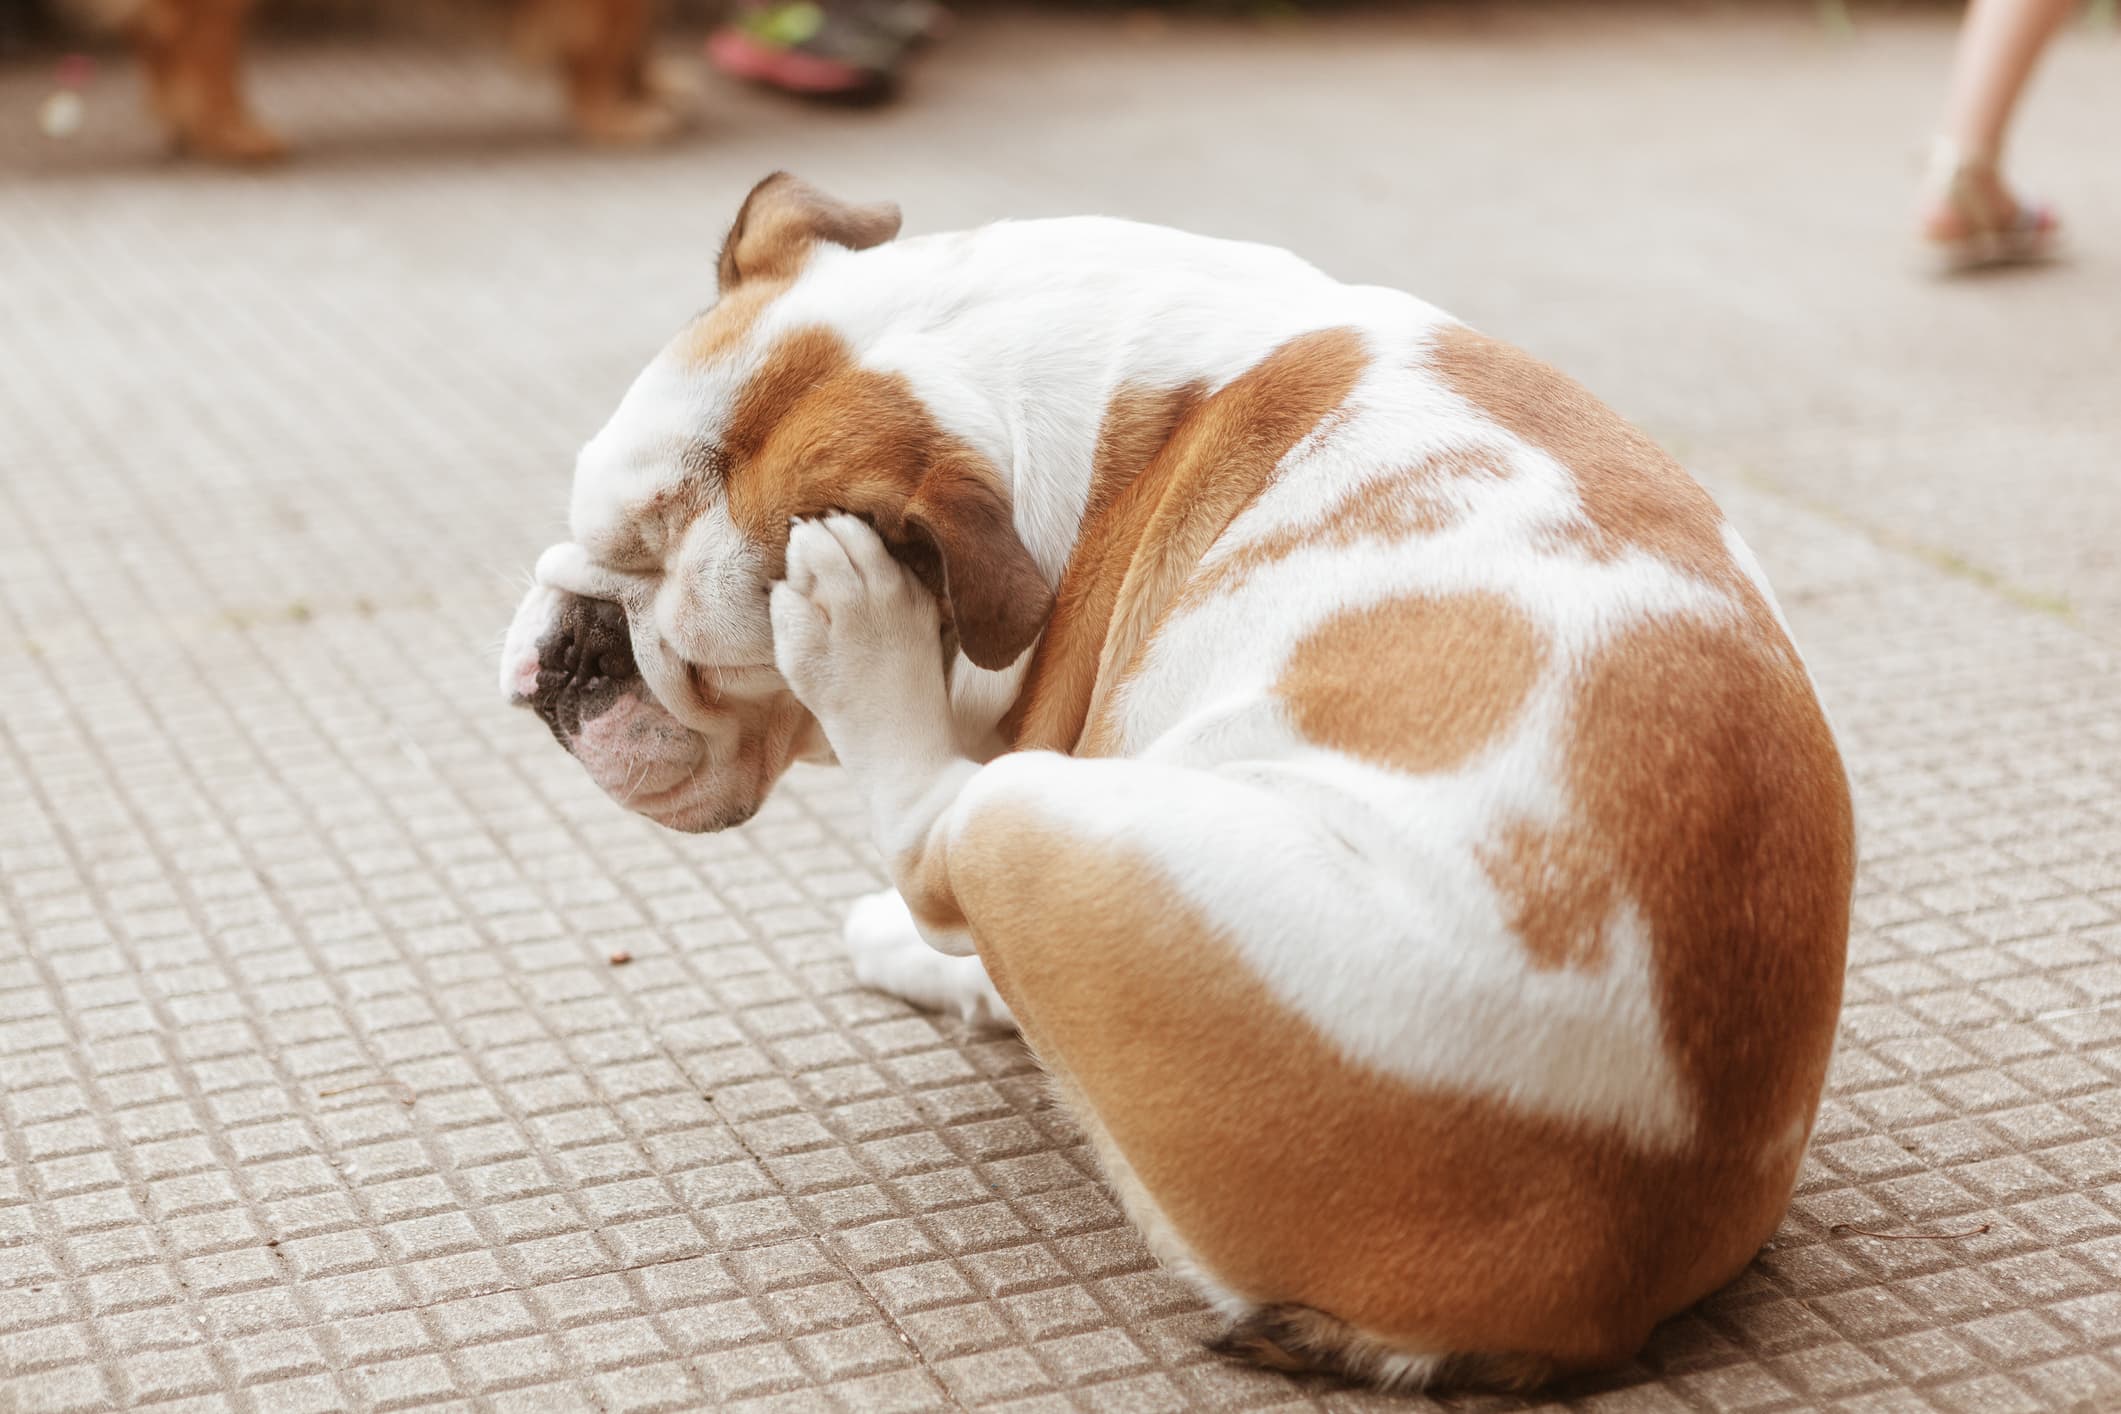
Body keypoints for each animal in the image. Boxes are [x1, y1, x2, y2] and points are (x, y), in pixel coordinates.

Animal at [72, 0, 678, 160]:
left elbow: (632, 39)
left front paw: (654, 86)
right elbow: (606, 40)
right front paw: (616, 117)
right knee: (196, 38)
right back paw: (233, 133)